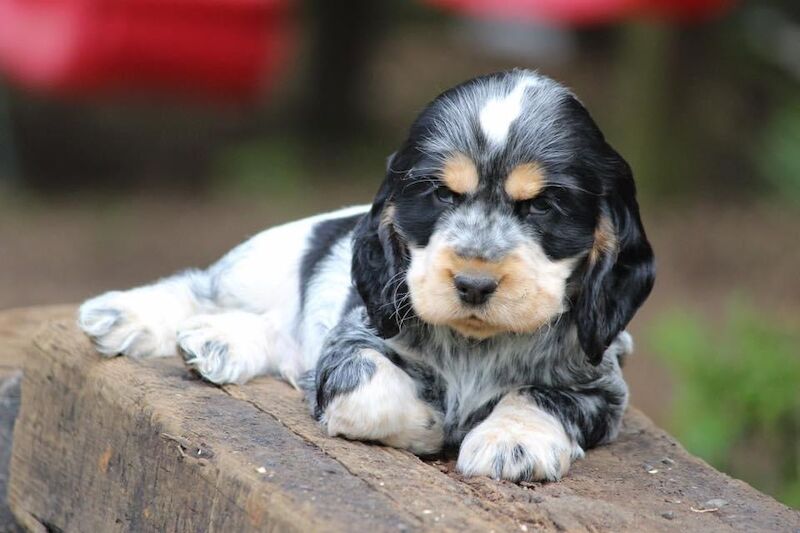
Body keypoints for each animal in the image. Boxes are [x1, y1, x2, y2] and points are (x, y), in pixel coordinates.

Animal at [79, 70, 656, 482]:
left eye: (541, 206)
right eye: (441, 194)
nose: (473, 284)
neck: (475, 346)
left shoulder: (603, 390)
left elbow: (540, 396)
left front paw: (510, 442)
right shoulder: (352, 340)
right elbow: (368, 387)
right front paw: (428, 425)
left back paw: (216, 341)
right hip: (260, 263)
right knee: (201, 286)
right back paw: (125, 315)